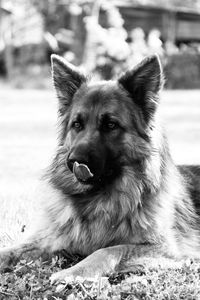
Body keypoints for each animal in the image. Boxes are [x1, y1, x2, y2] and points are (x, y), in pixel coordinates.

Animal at [0, 54, 200, 286]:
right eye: (77, 124)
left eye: (111, 125)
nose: (73, 161)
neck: (99, 198)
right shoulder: (52, 238)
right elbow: (12, 250)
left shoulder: (165, 249)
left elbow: (109, 250)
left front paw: (73, 272)